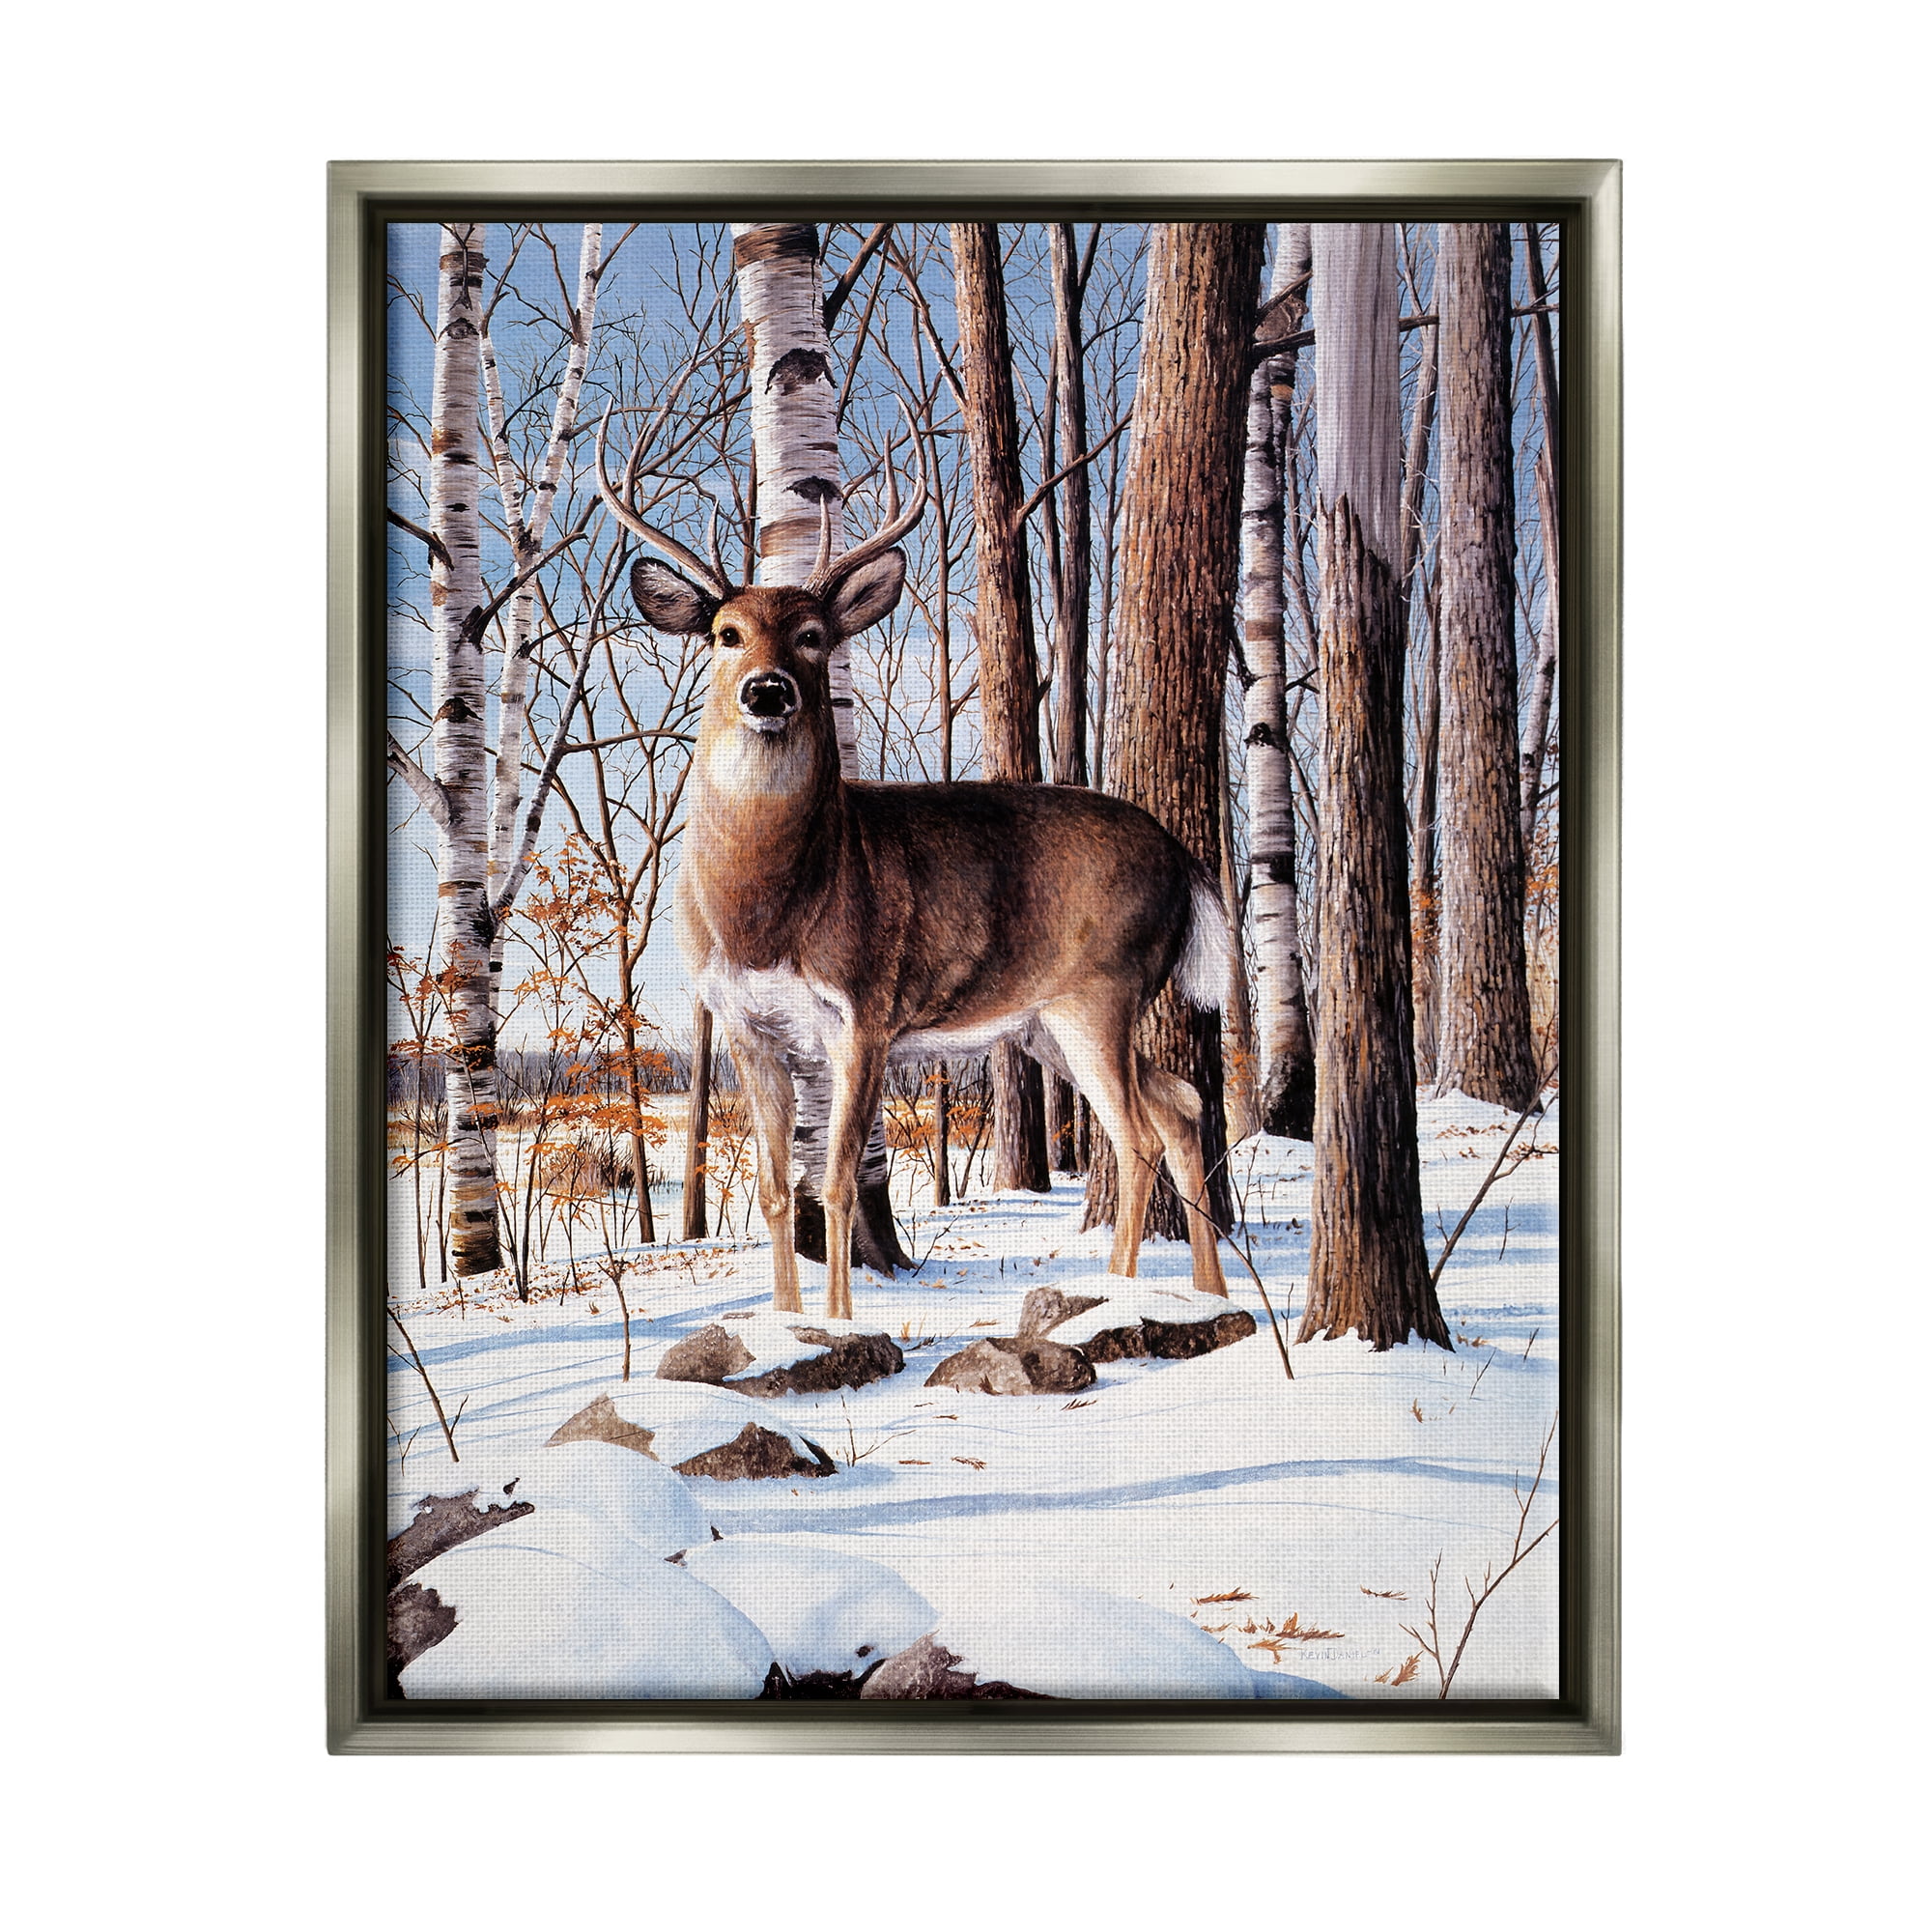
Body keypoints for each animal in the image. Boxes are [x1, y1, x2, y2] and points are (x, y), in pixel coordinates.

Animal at [597, 416, 1231, 1323]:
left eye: (813, 635)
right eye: (726, 634)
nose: (767, 691)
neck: (767, 913)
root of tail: (1185, 856)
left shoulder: (864, 1010)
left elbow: (834, 1182)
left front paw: (834, 1322)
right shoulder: (747, 1027)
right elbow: (774, 1192)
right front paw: (787, 1322)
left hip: (1102, 989)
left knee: (1138, 1134)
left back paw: (1120, 1293)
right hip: (1042, 1022)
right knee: (1179, 1103)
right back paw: (1207, 1295)